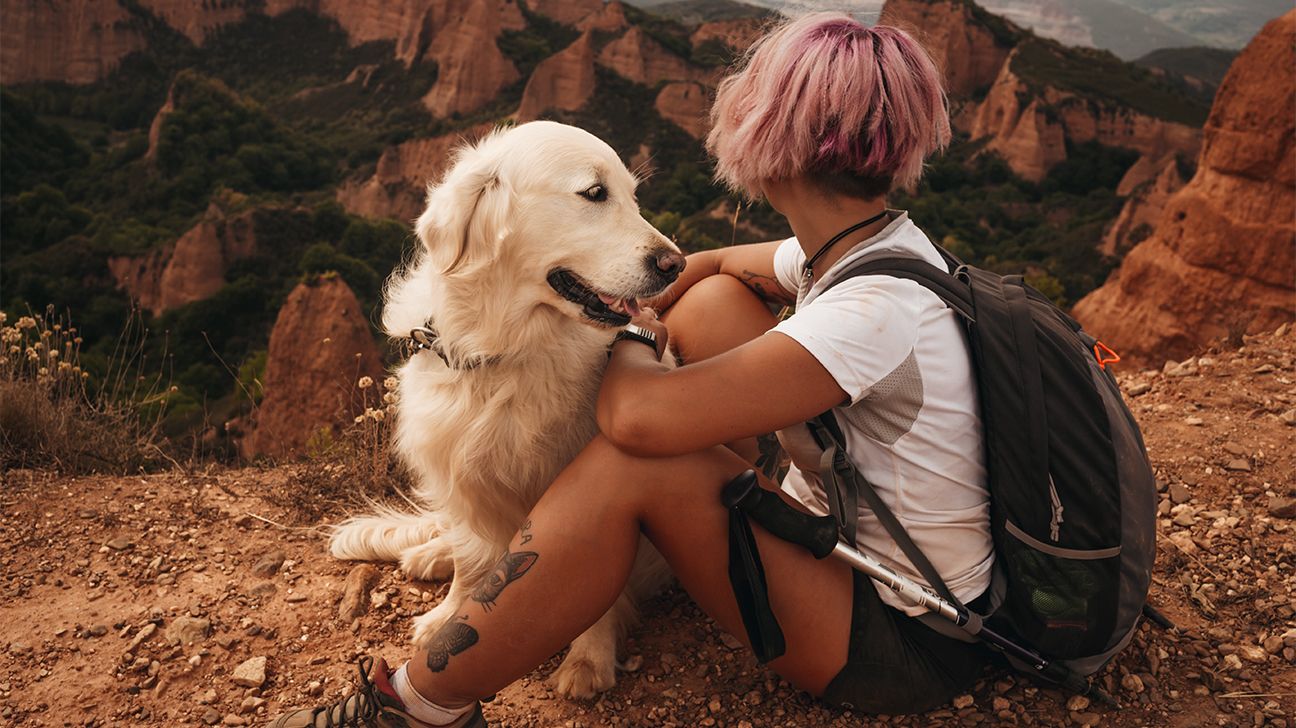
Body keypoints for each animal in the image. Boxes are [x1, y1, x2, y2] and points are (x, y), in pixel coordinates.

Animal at [329, 121, 684, 694]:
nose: (677, 264)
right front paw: (449, 615)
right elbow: (471, 560)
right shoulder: (457, 464)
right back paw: (429, 553)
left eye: (633, 196)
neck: (504, 347)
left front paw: (589, 657)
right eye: (594, 193)